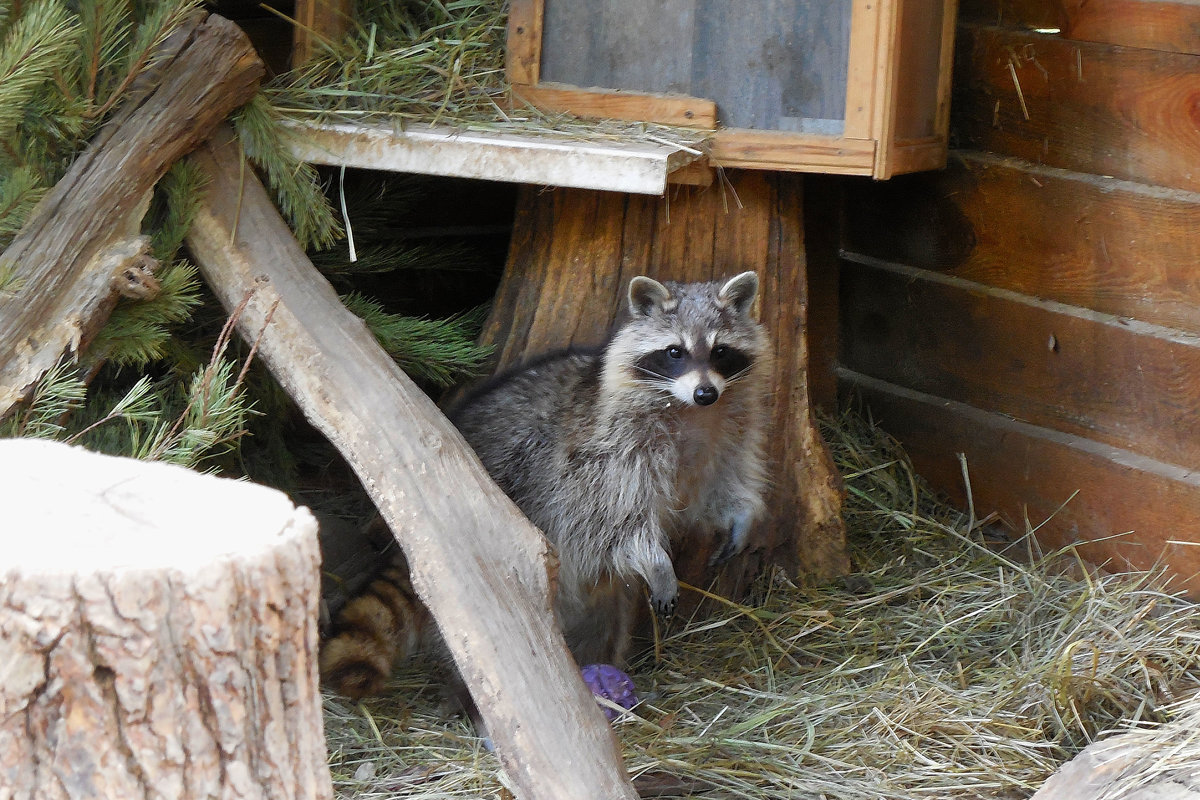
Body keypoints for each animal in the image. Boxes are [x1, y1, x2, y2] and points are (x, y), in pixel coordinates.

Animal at [319, 272, 768, 695]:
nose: (706, 391)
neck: (690, 411)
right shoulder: (604, 454)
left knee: (606, 621)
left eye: (721, 351)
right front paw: (657, 561)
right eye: (675, 352)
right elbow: (618, 520)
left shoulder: (726, 432)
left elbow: (721, 483)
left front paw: (741, 514)